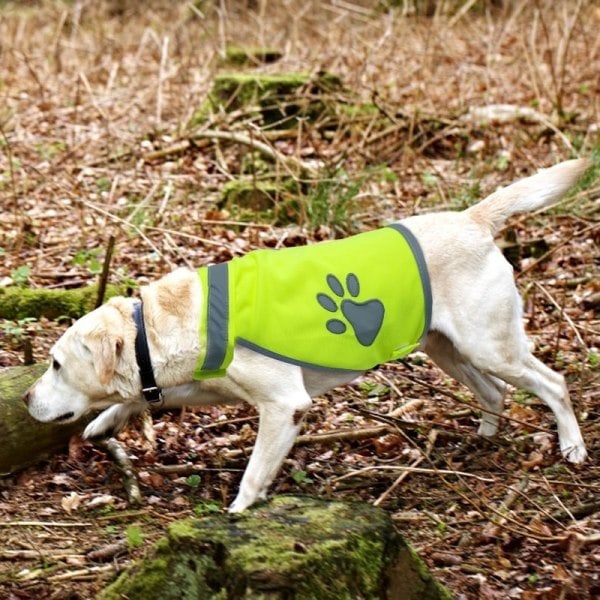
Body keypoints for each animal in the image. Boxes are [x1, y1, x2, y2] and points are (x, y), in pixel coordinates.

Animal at [23, 159, 584, 510]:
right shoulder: (198, 385)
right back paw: (482, 438)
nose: (25, 398)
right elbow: (145, 396)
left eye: (54, 364)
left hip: (489, 345)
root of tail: (472, 217)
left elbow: (254, 471)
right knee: (496, 392)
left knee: (551, 382)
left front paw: (239, 512)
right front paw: (106, 421)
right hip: (447, 349)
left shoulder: (284, 405)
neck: (167, 325)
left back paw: (572, 446)